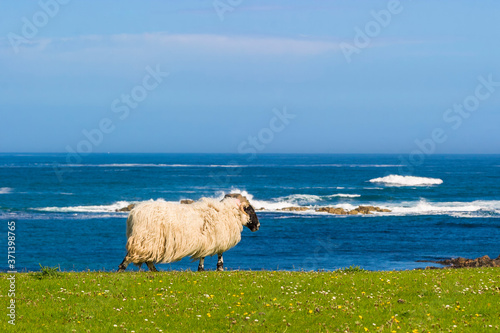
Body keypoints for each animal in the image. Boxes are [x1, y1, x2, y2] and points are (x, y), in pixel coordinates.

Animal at [115, 192, 260, 272]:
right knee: (134, 257)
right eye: (250, 209)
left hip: (147, 241)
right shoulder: (216, 238)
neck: (228, 212)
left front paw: (203, 269)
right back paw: (123, 270)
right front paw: (218, 268)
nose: (258, 226)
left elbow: (207, 255)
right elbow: (217, 254)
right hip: (145, 239)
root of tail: (133, 213)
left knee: (145, 259)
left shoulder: (210, 240)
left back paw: (154, 271)